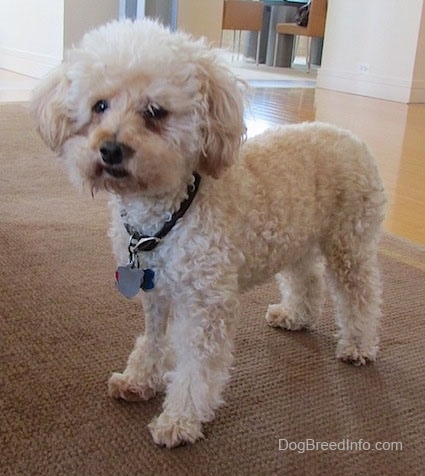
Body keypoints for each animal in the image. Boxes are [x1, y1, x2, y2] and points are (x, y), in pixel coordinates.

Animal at [32, 19, 384, 450]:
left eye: (155, 111)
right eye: (100, 105)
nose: (111, 149)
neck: (167, 214)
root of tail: (350, 136)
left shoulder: (204, 302)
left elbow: (196, 368)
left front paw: (179, 420)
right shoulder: (155, 291)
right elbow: (154, 339)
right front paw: (138, 380)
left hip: (349, 243)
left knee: (361, 295)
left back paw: (358, 344)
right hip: (296, 239)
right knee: (307, 278)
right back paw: (295, 315)